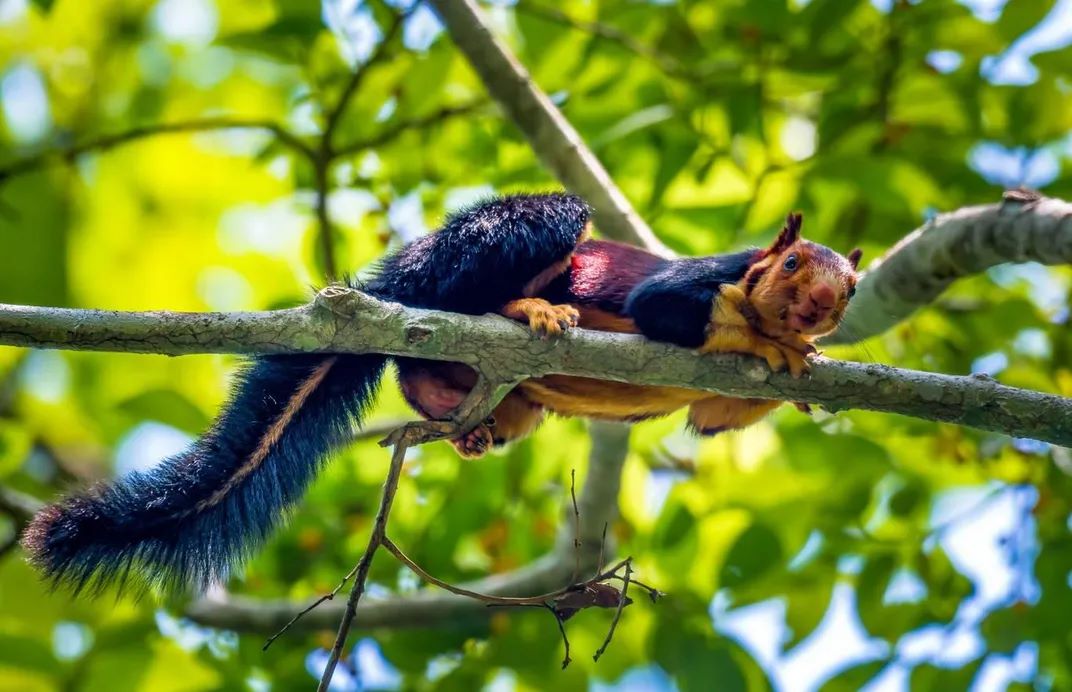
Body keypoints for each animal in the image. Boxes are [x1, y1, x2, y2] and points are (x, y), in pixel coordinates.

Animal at [22, 193, 861, 594]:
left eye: (849, 288)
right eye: (792, 265)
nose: (819, 307)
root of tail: (398, 280)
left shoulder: (716, 404)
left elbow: (715, 415)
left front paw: (803, 358)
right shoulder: (701, 280)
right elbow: (676, 310)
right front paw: (766, 339)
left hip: (496, 396)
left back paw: (472, 424)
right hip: (500, 243)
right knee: (472, 288)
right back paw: (526, 309)